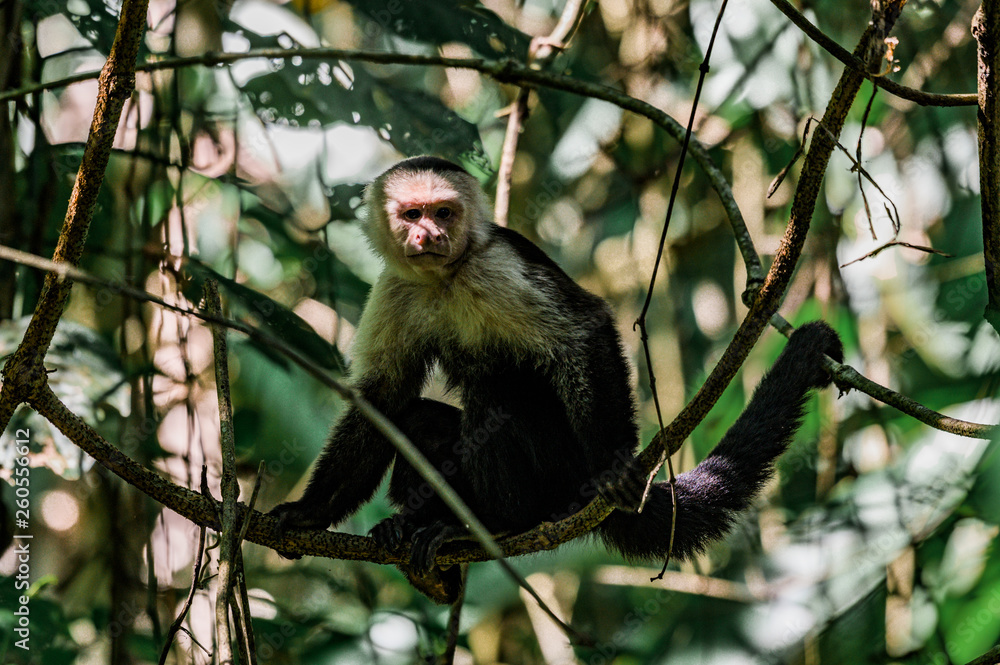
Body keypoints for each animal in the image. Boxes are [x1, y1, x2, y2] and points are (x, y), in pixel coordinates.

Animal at [269, 155, 843, 602]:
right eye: (412, 213)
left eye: (444, 212)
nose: (428, 234)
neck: (446, 277)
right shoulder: (397, 285)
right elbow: (383, 399)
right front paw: (309, 512)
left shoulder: (497, 265)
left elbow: (583, 332)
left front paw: (613, 467)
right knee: (421, 422)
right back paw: (416, 529)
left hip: (560, 472)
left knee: (499, 394)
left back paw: (500, 524)